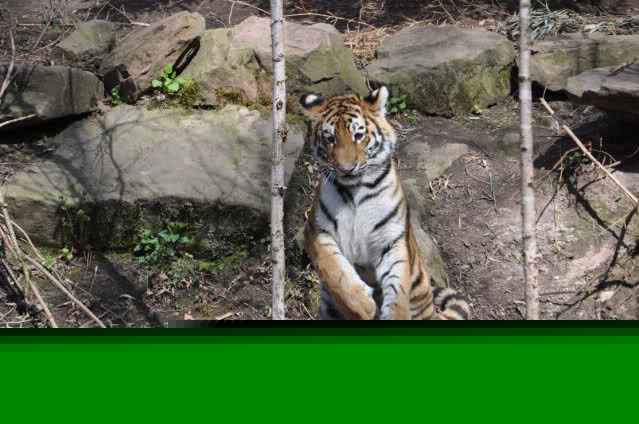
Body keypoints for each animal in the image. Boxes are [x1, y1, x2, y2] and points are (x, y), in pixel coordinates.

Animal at [300, 86, 471, 320]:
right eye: (330, 139)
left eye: (358, 135)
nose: (346, 169)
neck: (355, 190)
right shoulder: (316, 230)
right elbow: (335, 270)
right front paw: (362, 305)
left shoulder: (391, 240)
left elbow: (398, 289)